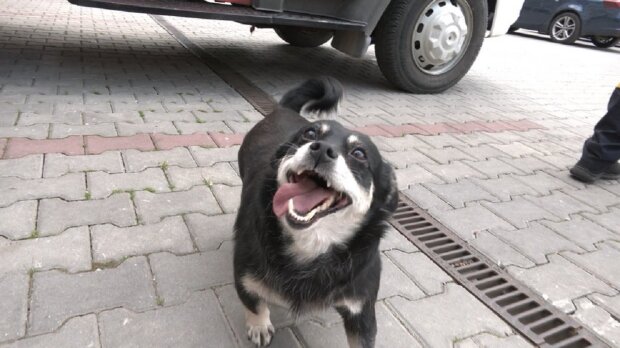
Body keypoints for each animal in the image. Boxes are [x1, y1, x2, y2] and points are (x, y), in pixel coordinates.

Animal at [232, 77, 398, 346]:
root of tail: (283, 109)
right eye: (310, 133)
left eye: (359, 153)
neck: (311, 245)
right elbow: (254, 304)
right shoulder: (245, 277)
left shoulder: (361, 311)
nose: (321, 149)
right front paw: (259, 326)